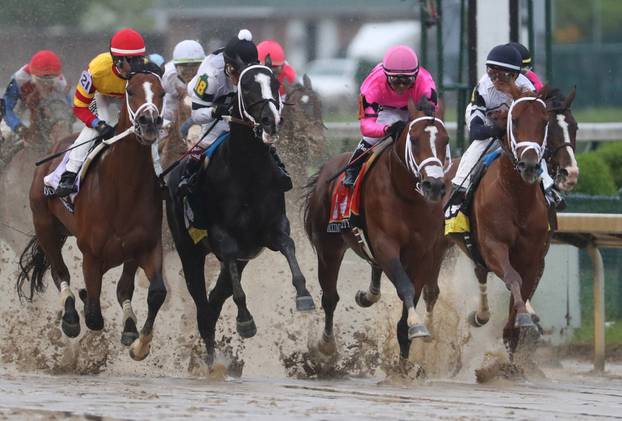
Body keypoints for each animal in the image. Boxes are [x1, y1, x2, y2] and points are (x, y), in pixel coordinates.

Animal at [17, 70, 167, 360]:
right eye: (130, 91)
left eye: (162, 92)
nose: (149, 122)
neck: (124, 187)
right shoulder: (91, 255)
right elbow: (94, 315)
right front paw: (83, 307)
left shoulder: (147, 246)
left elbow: (155, 292)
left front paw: (139, 343)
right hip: (45, 225)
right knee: (60, 273)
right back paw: (70, 316)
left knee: (120, 288)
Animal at [165, 64, 314, 366]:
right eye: (247, 88)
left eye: (275, 84)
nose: (270, 121)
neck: (247, 172)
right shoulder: (225, 240)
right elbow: (237, 289)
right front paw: (245, 321)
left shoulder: (272, 229)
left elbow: (289, 248)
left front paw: (304, 295)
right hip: (189, 250)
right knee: (201, 305)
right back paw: (210, 359)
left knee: (214, 299)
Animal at [304, 97, 450, 360]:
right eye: (414, 140)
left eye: (446, 140)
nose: (433, 186)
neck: (407, 197)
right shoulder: (385, 244)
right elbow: (405, 286)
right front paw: (417, 324)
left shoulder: (424, 252)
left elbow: (412, 297)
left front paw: (405, 354)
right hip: (328, 248)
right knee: (330, 297)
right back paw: (327, 344)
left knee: (373, 271)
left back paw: (368, 296)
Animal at [458, 86, 552, 354]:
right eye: (515, 120)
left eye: (544, 121)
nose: (529, 165)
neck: (516, 197)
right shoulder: (494, 245)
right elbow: (513, 278)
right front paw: (524, 318)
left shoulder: (532, 256)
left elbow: (523, 289)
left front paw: (520, 325)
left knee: (479, 272)